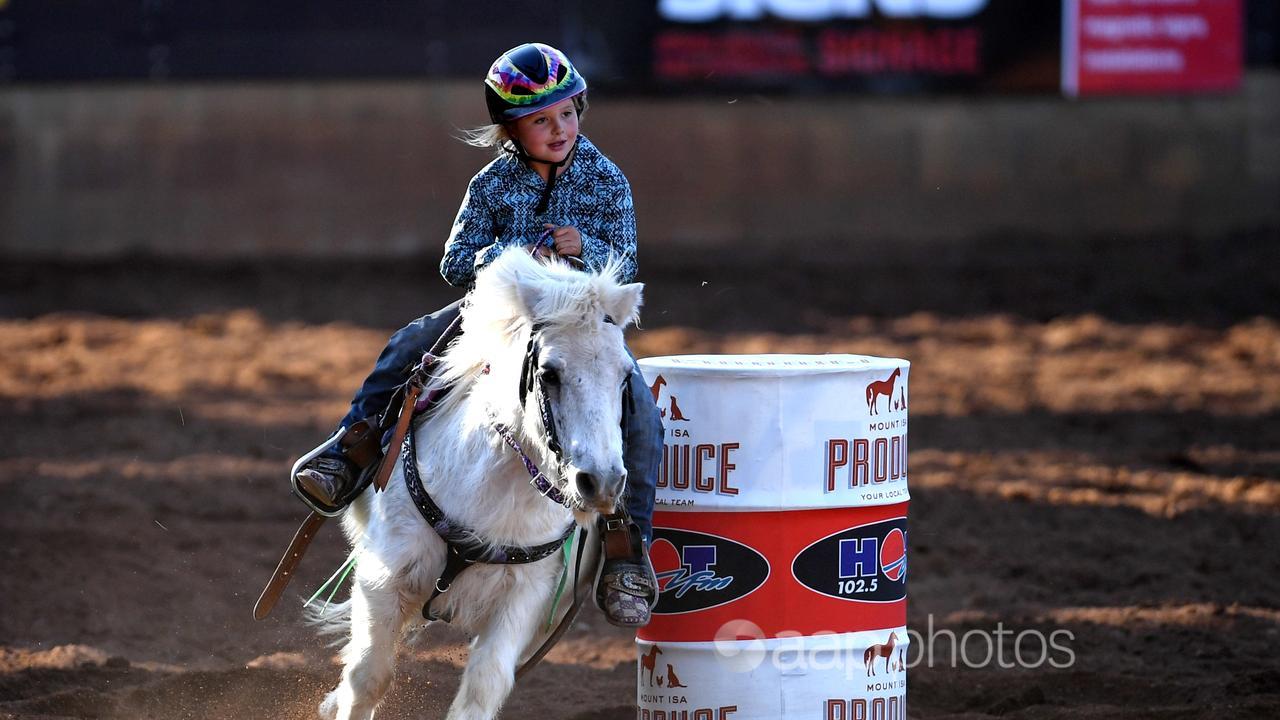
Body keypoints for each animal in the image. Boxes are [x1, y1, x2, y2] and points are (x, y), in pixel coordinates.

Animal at [316, 245, 645, 717]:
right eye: (549, 373)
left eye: (624, 376)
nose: (600, 482)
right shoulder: (385, 576)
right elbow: (367, 677)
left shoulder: (524, 597)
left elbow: (483, 688)